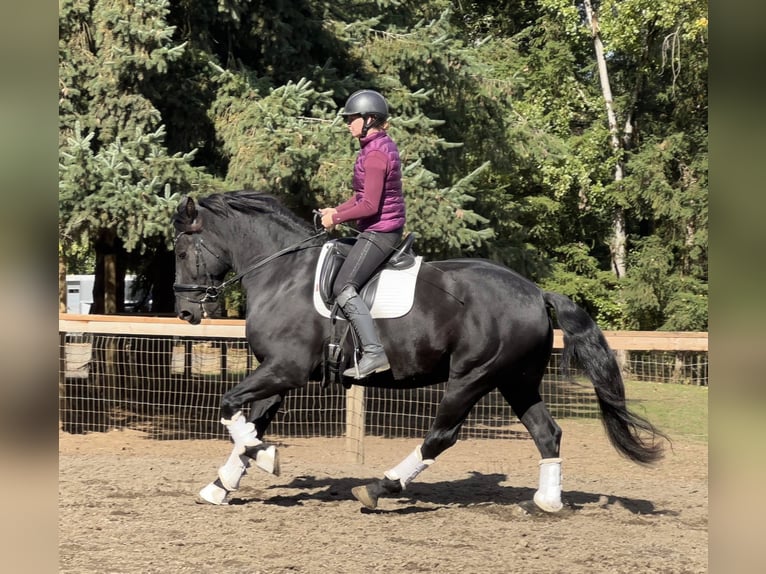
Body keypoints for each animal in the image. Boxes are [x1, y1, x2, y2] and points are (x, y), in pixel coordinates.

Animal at [172, 190, 665, 510]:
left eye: (179, 250)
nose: (185, 311)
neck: (282, 273)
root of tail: (535, 292)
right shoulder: (277, 373)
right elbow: (249, 423)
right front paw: (222, 485)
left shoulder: (285, 369)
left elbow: (230, 407)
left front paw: (267, 458)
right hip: (516, 380)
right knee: (547, 433)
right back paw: (546, 502)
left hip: (472, 377)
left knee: (441, 436)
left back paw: (380, 488)